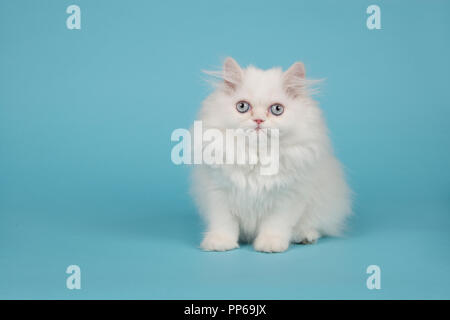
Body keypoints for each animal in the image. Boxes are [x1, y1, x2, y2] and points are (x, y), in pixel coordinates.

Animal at [190, 57, 352, 252]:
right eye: (242, 106)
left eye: (277, 109)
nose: (259, 120)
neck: (257, 156)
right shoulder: (218, 193)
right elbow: (224, 223)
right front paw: (220, 243)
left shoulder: (288, 197)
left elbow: (275, 224)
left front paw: (270, 244)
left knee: (315, 226)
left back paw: (305, 236)